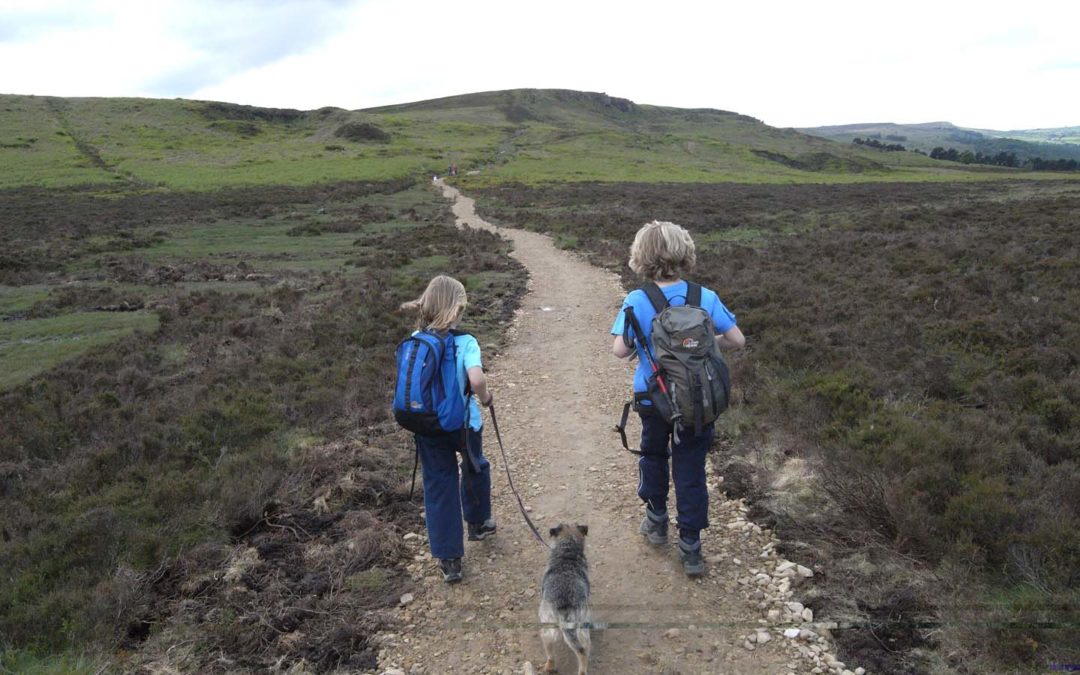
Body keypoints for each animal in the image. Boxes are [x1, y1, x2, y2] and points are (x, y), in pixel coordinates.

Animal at [537, 524, 591, 669]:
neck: (567, 553)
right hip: (580, 630)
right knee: (583, 650)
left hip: (548, 630)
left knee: (552, 653)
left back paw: (549, 667)